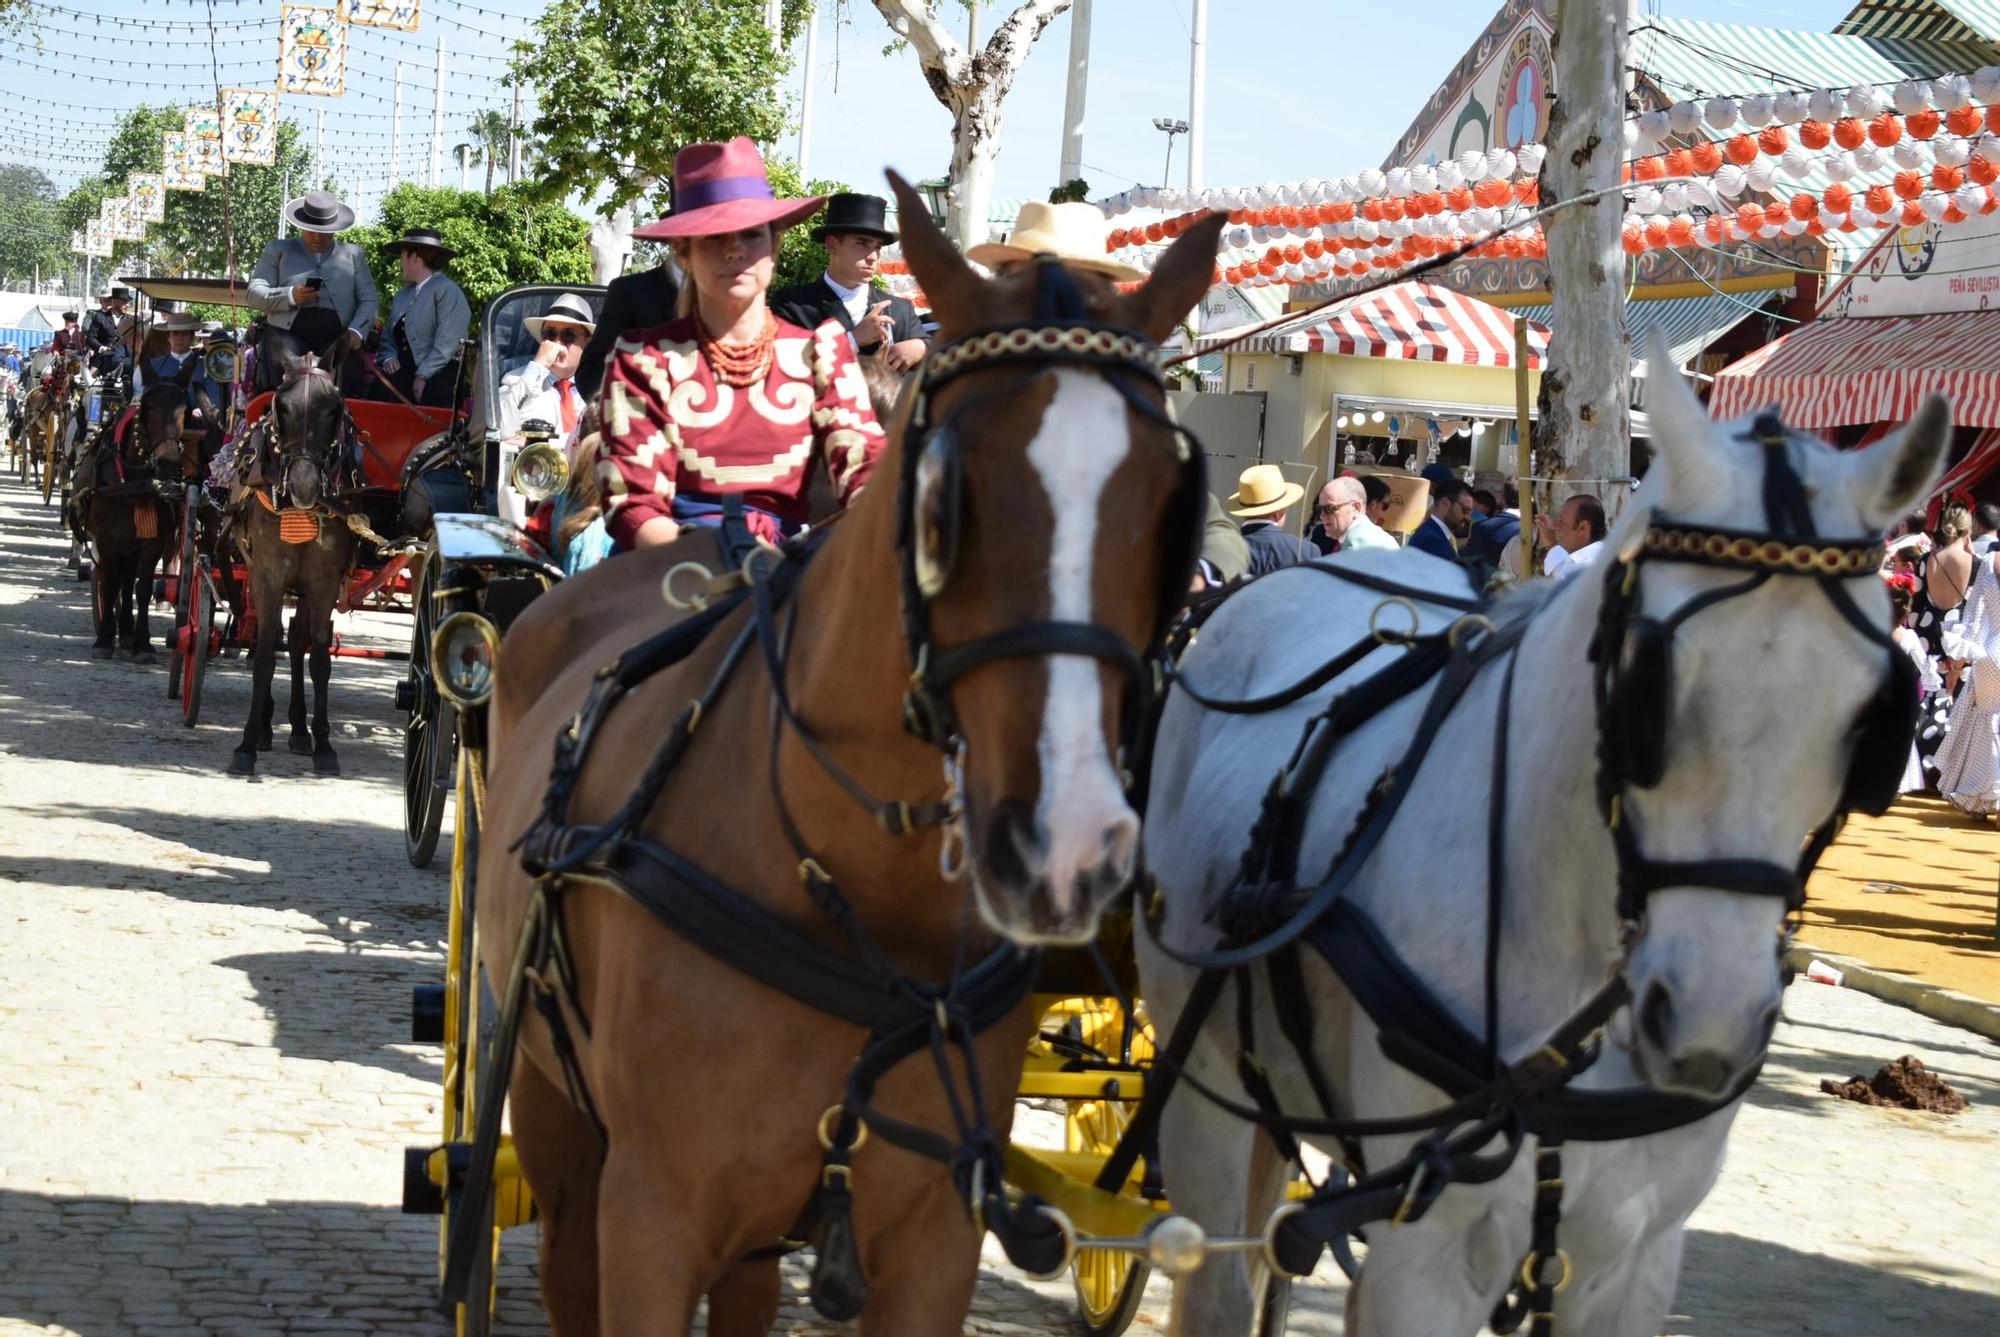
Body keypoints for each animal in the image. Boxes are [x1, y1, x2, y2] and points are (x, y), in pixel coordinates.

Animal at [228, 344, 364, 776]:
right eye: (281, 407)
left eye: (334, 408)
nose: (304, 484)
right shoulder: (268, 577)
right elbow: (264, 657)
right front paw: (247, 742)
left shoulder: (322, 582)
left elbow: (319, 657)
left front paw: (324, 744)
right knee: (270, 637)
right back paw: (268, 727)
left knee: (298, 641)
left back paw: (301, 731)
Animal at [476, 177, 1224, 1337]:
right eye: (941, 501)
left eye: (1170, 505)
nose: (1061, 845)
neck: (854, 890)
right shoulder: (651, 1214)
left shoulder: (933, 1238)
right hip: (554, 1119)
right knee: (563, 1261)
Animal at [1144, 354, 1952, 1337]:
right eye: (1646, 690)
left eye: (1872, 713)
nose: (1709, 1022)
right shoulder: (1422, 1265)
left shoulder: (1635, 1260)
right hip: (1204, 1089)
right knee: (1218, 1279)